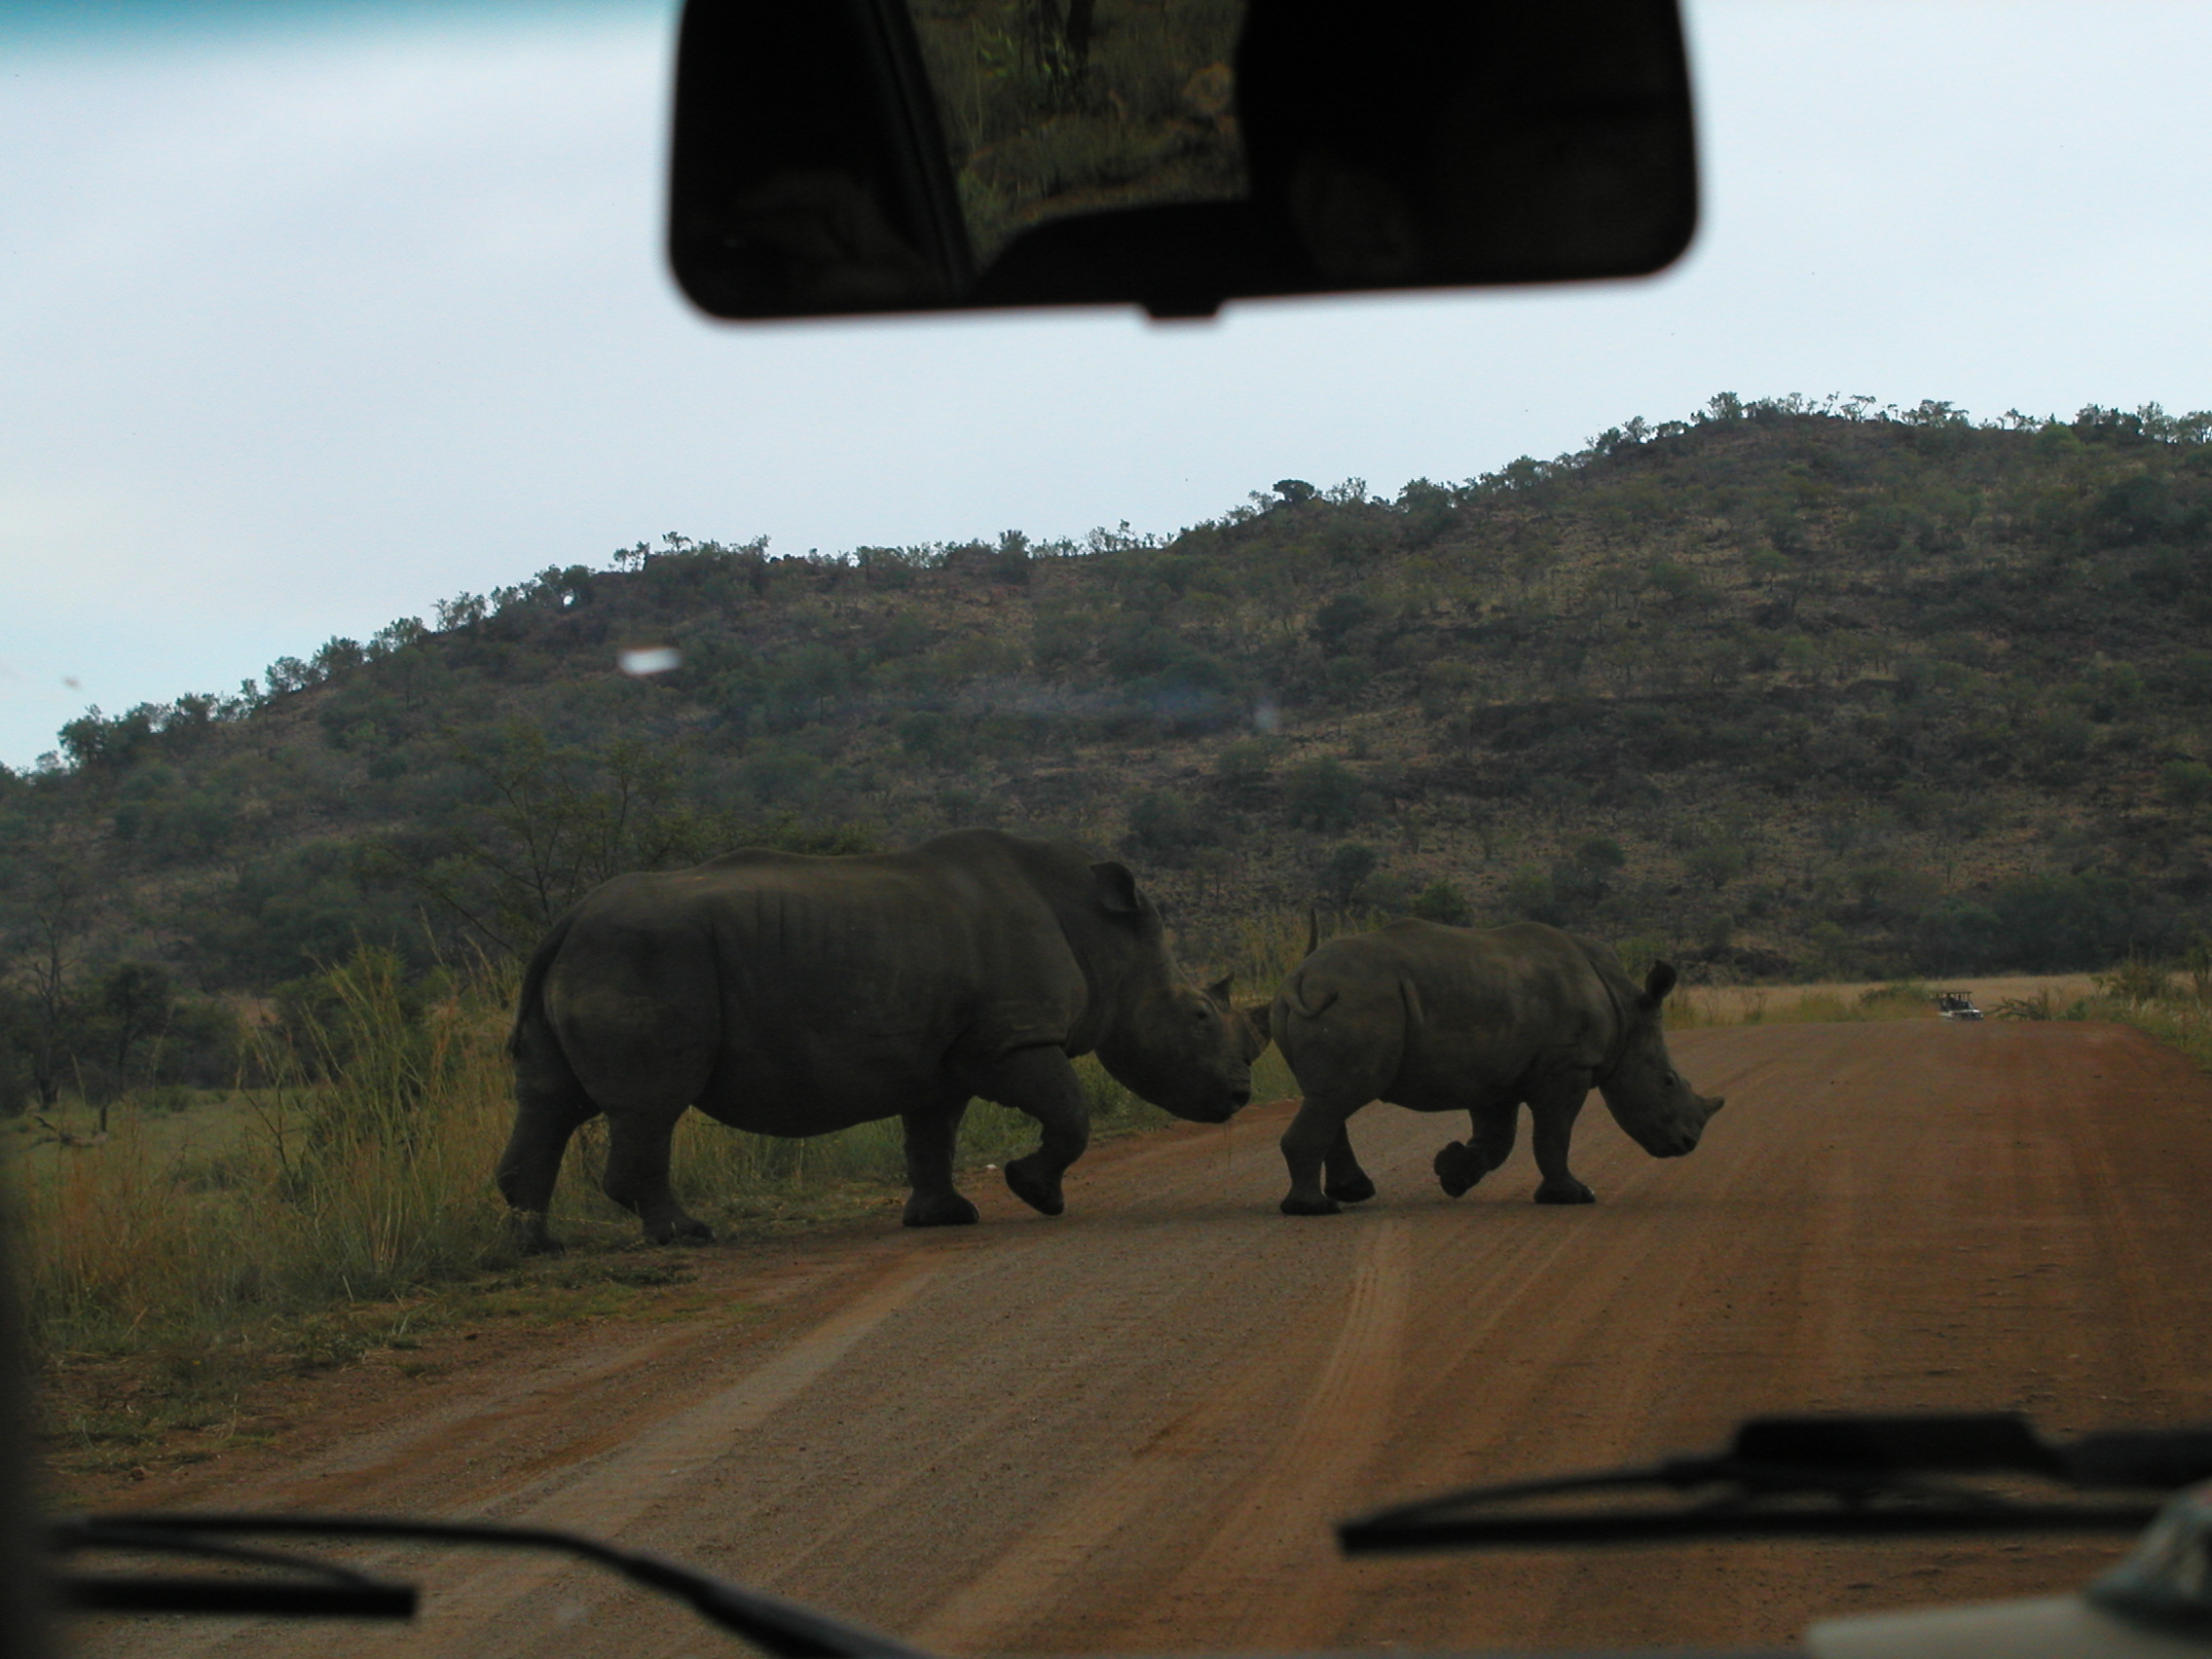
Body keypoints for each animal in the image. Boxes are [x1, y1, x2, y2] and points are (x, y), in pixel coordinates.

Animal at [497, 828, 1268, 1251]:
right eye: (1199, 1017)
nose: (1240, 1096)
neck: (1104, 934)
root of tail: (565, 922)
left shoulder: (948, 1056)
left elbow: (932, 1135)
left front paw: (944, 1219)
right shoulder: (1013, 1039)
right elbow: (1070, 1114)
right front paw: (1037, 1194)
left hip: (602, 954)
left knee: (549, 1101)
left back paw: (538, 1247)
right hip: (644, 955)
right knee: (651, 1107)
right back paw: (684, 1236)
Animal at [1269, 919, 1723, 1215]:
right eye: (1668, 1081)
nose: (1687, 1144)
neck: (1626, 1010)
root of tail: (1302, 975)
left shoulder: (1495, 1074)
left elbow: (1497, 1140)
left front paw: (1451, 1173)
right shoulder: (1568, 1065)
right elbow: (1554, 1134)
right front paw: (1573, 1196)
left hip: (1339, 1000)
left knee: (1330, 1097)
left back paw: (1352, 1193)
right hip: (1358, 999)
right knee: (1339, 1097)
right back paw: (1315, 1209)